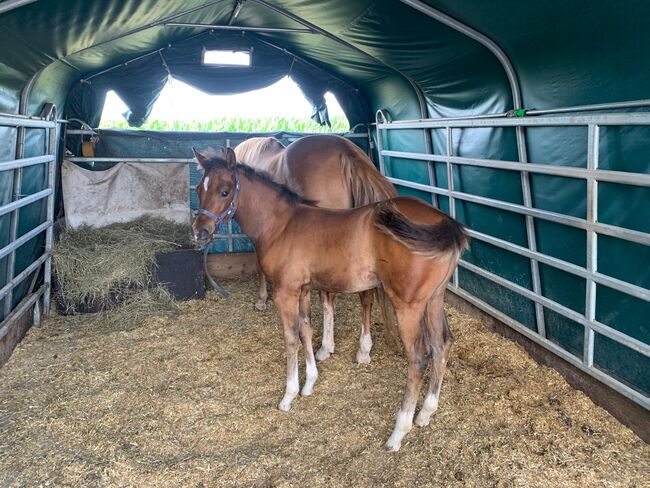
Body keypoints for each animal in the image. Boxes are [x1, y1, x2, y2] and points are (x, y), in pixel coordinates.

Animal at [192, 148, 466, 450]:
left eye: (225, 191)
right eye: (198, 189)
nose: (200, 231)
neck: (281, 224)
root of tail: (448, 224)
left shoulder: (285, 291)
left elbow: (290, 338)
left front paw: (289, 396)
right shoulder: (302, 289)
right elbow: (306, 330)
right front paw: (310, 383)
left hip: (408, 305)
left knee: (418, 357)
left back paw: (398, 432)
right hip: (434, 299)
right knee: (442, 344)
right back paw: (425, 413)